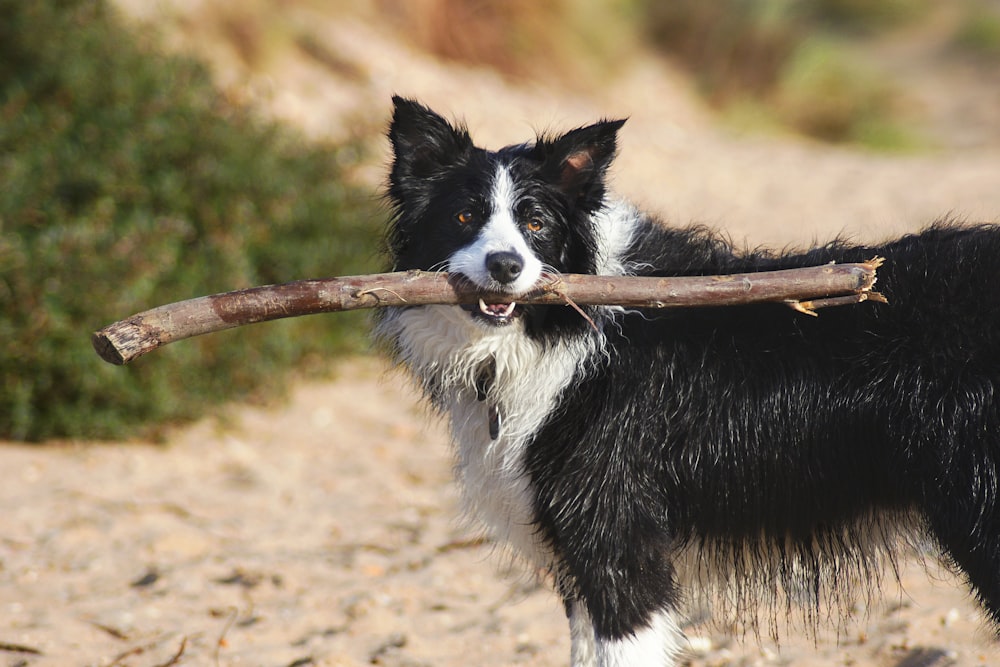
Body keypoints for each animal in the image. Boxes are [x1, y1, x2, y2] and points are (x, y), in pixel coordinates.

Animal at [376, 95, 1000, 667]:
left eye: (536, 223)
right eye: (464, 217)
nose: (506, 266)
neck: (560, 331)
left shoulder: (617, 541)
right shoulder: (578, 558)